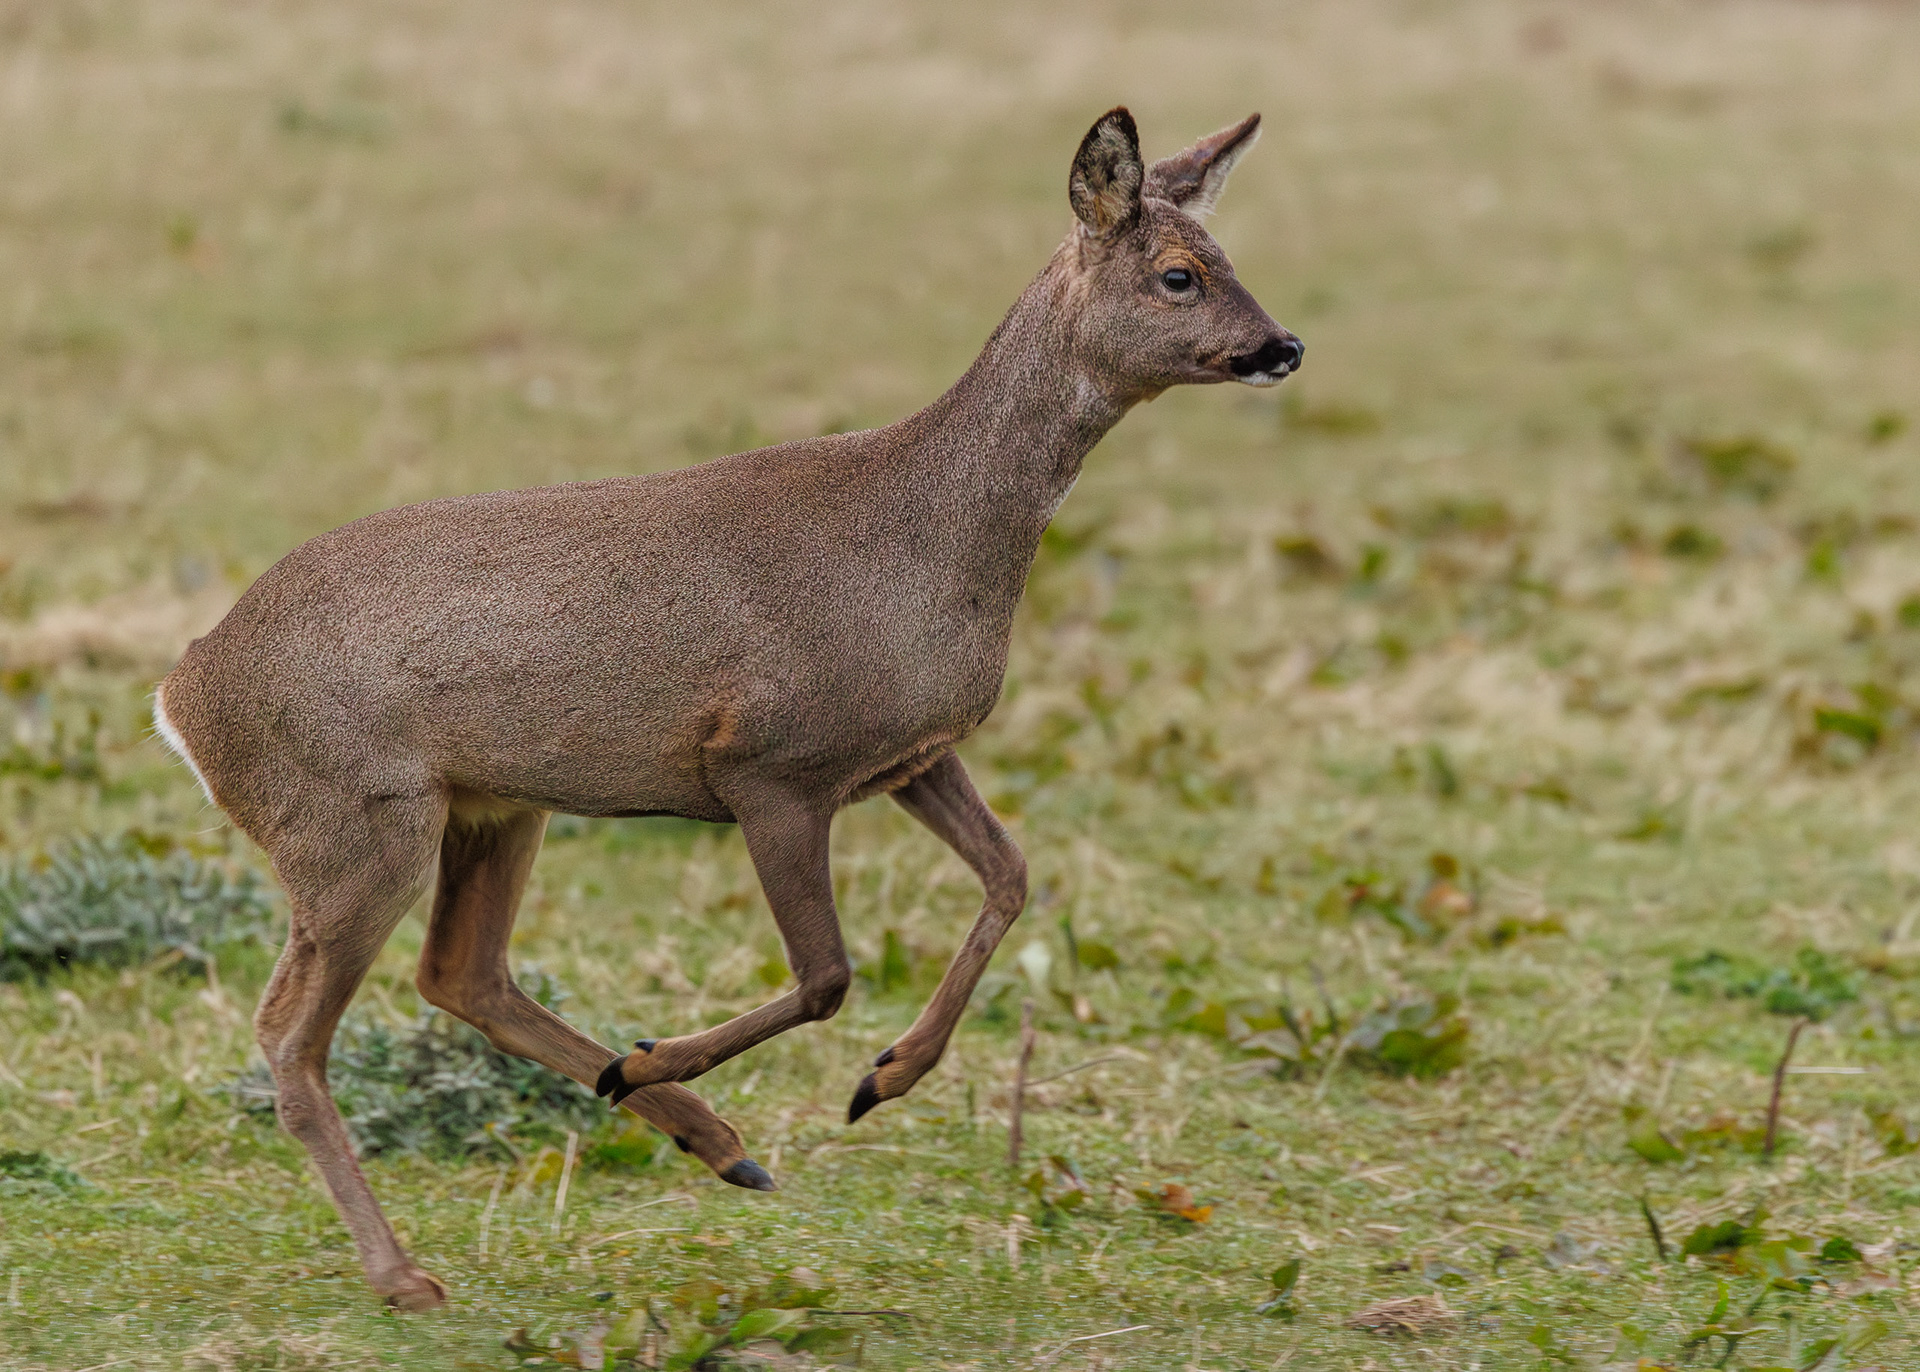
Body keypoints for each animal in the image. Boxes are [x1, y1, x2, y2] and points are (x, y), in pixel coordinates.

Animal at [153, 107, 1300, 1309]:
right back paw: (412, 1271)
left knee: (460, 972)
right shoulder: (770, 763)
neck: (925, 541)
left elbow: (1012, 876)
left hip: (491, 807)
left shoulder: (907, 754)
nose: (1283, 346)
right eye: (1177, 273)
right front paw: (706, 1058)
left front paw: (883, 1078)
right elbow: (828, 972)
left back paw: (707, 1139)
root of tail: (184, 694)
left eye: (1226, 256)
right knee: (293, 1031)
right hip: (351, 822)